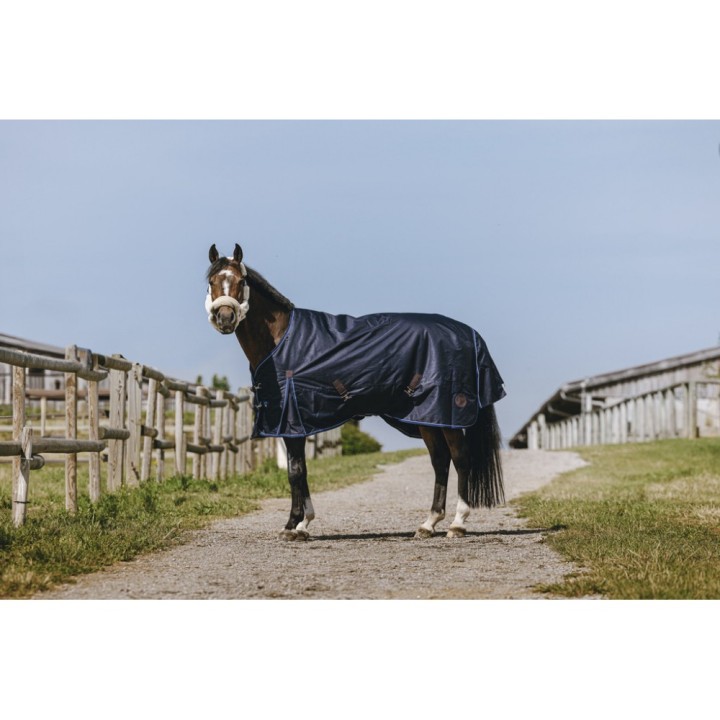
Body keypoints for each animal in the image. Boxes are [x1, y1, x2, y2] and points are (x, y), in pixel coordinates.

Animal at [205, 243, 506, 541]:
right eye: (211, 281)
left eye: (240, 281)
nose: (225, 318)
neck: (281, 341)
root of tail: (469, 334)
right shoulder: (297, 424)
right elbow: (301, 470)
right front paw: (303, 523)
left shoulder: (292, 422)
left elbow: (295, 471)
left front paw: (293, 526)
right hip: (427, 418)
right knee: (440, 461)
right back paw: (428, 524)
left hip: (446, 415)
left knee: (461, 459)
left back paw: (457, 524)